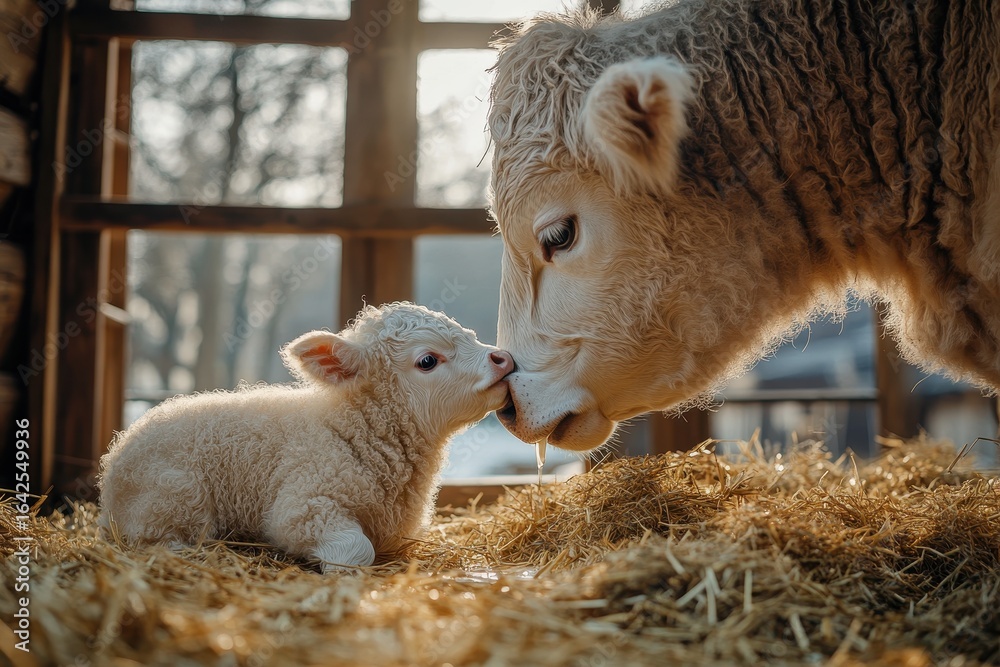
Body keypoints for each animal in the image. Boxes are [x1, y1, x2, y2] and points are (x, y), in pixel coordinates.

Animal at [98, 302, 515, 571]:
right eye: (427, 361)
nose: (503, 358)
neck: (352, 429)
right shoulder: (302, 504)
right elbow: (357, 550)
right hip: (176, 497)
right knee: (155, 540)